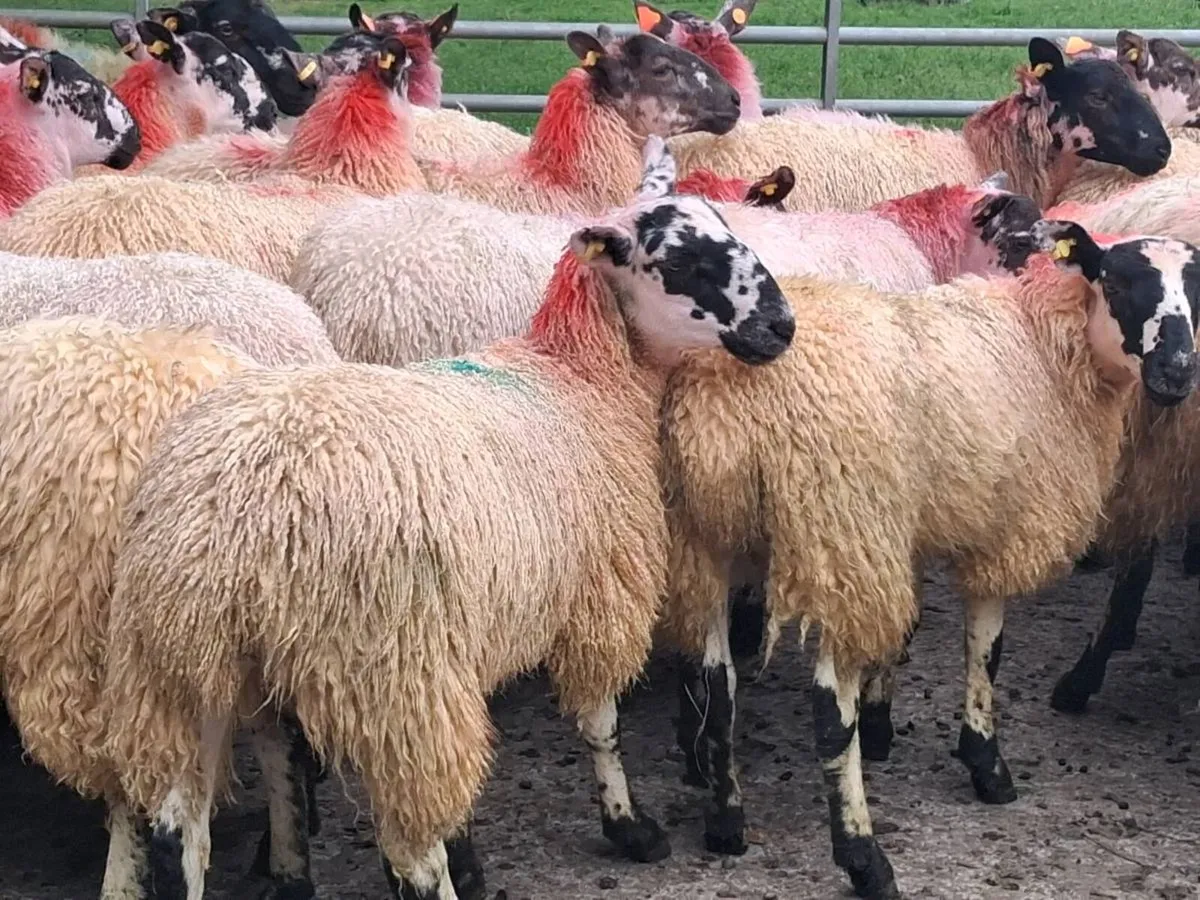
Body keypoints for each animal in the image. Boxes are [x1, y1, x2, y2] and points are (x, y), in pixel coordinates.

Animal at [97, 146, 795, 900]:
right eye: (686, 260)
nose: (782, 326)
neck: (581, 379)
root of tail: (231, 513)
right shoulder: (595, 595)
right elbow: (599, 721)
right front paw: (628, 827)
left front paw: (475, 848)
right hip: (387, 673)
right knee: (410, 849)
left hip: (177, 666)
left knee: (181, 831)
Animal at [658, 221, 1200, 899]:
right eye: (1120, 282)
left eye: (1198, 288)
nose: (1177, 371)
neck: (1050, 346)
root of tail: (724, 405)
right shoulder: (999, 526)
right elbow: (987, 651)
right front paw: (986, 762)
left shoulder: (907, 530)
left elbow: (906, 634)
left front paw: (883, 722)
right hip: (840, 531)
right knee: (826, 712)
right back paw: (864, 858)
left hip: (705, 540)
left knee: (718, 689)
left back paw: (726, 822)